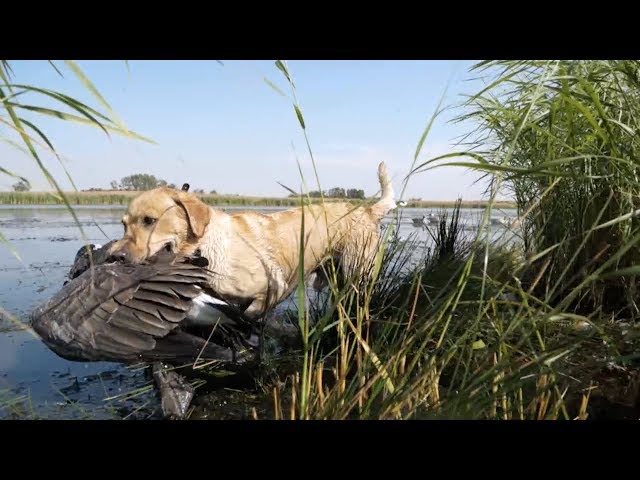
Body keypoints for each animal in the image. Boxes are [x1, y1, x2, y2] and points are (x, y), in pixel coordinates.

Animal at [111, 163, 396, 316]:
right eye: (123, 224)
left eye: (149, 220)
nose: (116, 256)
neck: (204, 247)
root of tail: (366, 210)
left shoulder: (273, 288)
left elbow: (250, 314)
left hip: (358, 271)